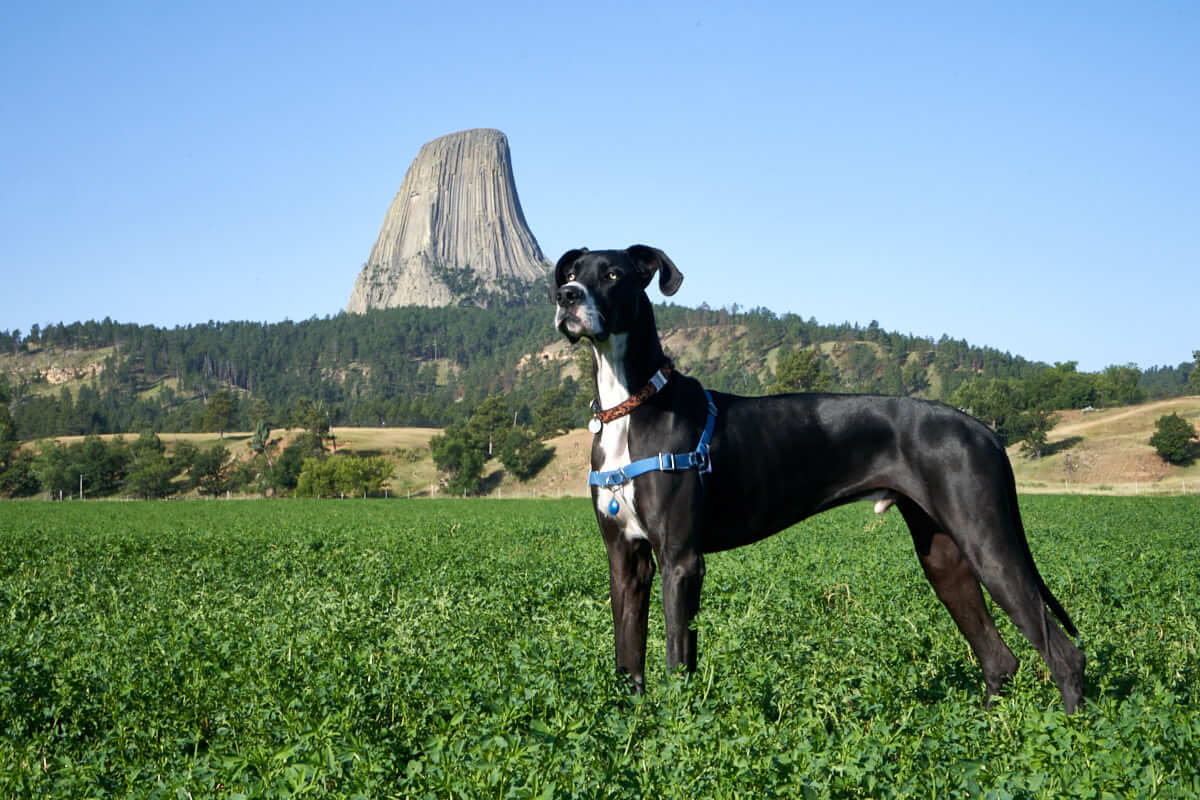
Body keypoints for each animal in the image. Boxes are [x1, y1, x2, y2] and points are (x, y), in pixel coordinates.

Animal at [552, 244, 1089, 714]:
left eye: (613, 274)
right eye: (573, 270)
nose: (566, 296)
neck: (630, 403)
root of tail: (984, 429)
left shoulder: (681, 560)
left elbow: (676, 659)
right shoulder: (626, 559)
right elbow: (628, 660)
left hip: (986, 541)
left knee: (1064, 653)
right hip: (943, 556)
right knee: (1000, 659)